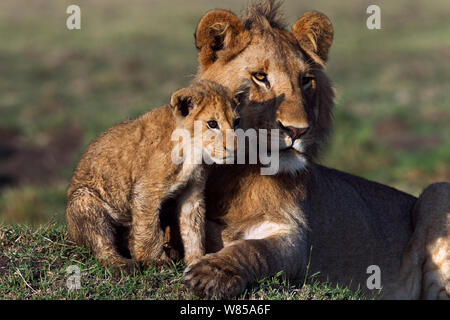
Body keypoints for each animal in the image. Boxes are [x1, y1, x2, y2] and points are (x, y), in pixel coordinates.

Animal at [180, 0, 450, 300]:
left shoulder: (293, 238)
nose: (297, 130)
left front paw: (212, 273)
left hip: (438, 190)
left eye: (306, 80)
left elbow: (254, 249)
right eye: (260, 77)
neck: (239, 173)